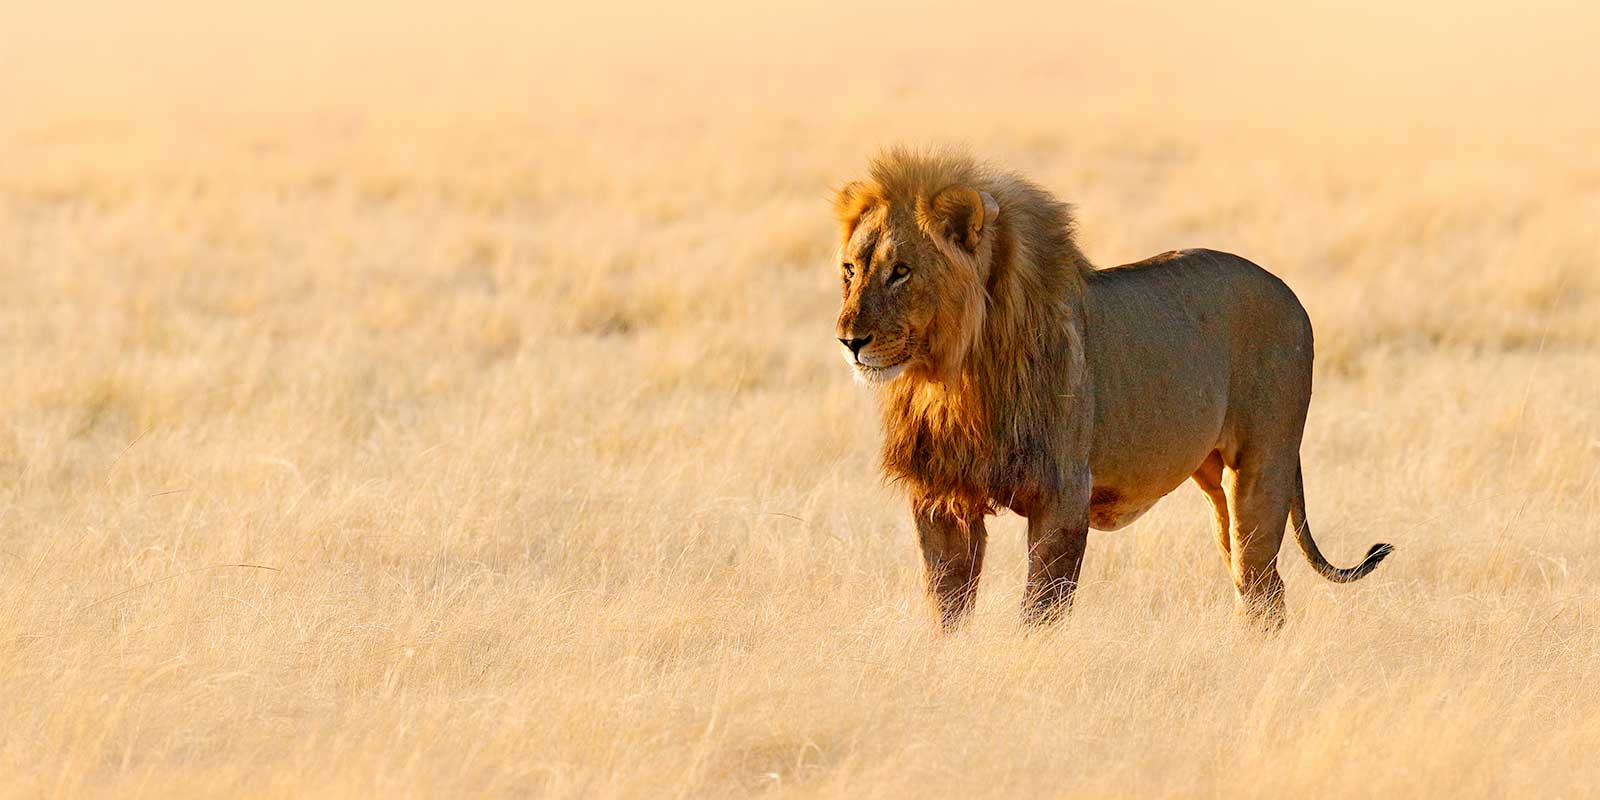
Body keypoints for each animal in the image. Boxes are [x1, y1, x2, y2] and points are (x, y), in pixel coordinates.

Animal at [831, 147, 1392, 629]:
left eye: (901, 272)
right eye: (850, 270)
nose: (849, 341)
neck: (951, 378)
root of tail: (1289, 292)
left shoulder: (1063, 492)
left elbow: (1041, 611)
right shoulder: (941, 496)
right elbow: (946, 606)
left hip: (1262, 465)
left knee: (1258, 582)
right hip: (1214, 478)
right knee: (1259, 584)